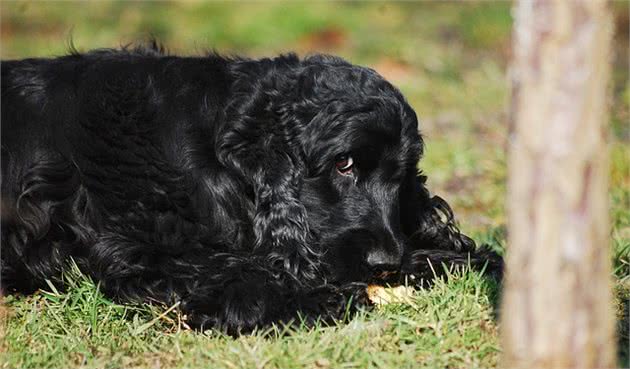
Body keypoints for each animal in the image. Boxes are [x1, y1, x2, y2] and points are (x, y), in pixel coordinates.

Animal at [0, 43, 504, 334]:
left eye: (401, 176)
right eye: (343, 164)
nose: (385, 263)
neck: (213, 147)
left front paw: (469, 261)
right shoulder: (140, 248)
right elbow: (237, 273)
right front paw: (312, 298)